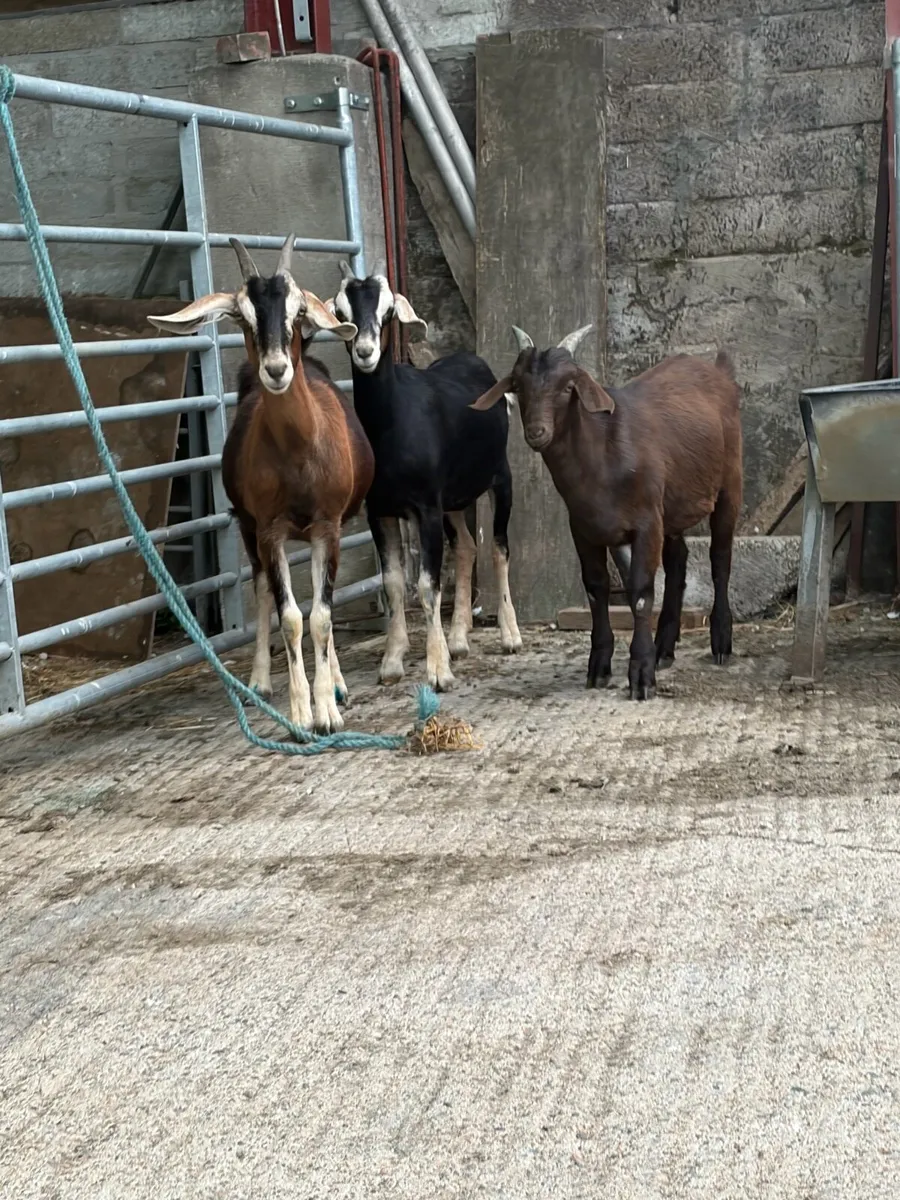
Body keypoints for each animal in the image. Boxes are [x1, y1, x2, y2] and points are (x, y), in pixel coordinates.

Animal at [149, 236, 372, 734]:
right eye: (244, 317)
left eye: (297, 311)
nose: (276, 368)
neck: (300, 456)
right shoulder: (269, 530)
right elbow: (290, 616)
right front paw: (301, 712)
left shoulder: (329, 527)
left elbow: (322, 616)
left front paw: (328, 710)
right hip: (251, 531)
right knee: (264, 589)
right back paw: (260, 683)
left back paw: (339, 683)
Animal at [327, 261, 522, 691]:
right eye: (341, 312)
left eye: (387, 312)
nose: (365, 352)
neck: (390, 423)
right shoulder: (381, 511)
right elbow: (394, 582)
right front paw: (393, 660)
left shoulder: (425, 507)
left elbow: (428, 586)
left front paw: (438, 670)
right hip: (454, 500)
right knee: (466, 547)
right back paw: (459, 638)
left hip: (499, 479)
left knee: (499, 548)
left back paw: (510, 635)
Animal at [471, 327, 743, 700]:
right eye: (519, 385)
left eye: (567, 387)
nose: (537, 432)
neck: (602, 454)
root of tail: (717, 370)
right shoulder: (585, 529)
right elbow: (595, 588)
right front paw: (600, 665)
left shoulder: (646, 523)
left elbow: (640, 592)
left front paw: (641, 675)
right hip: (671, 507)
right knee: (678, 562)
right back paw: (665, 648)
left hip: (729, 482)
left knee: (720, 559)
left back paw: (720, 641)